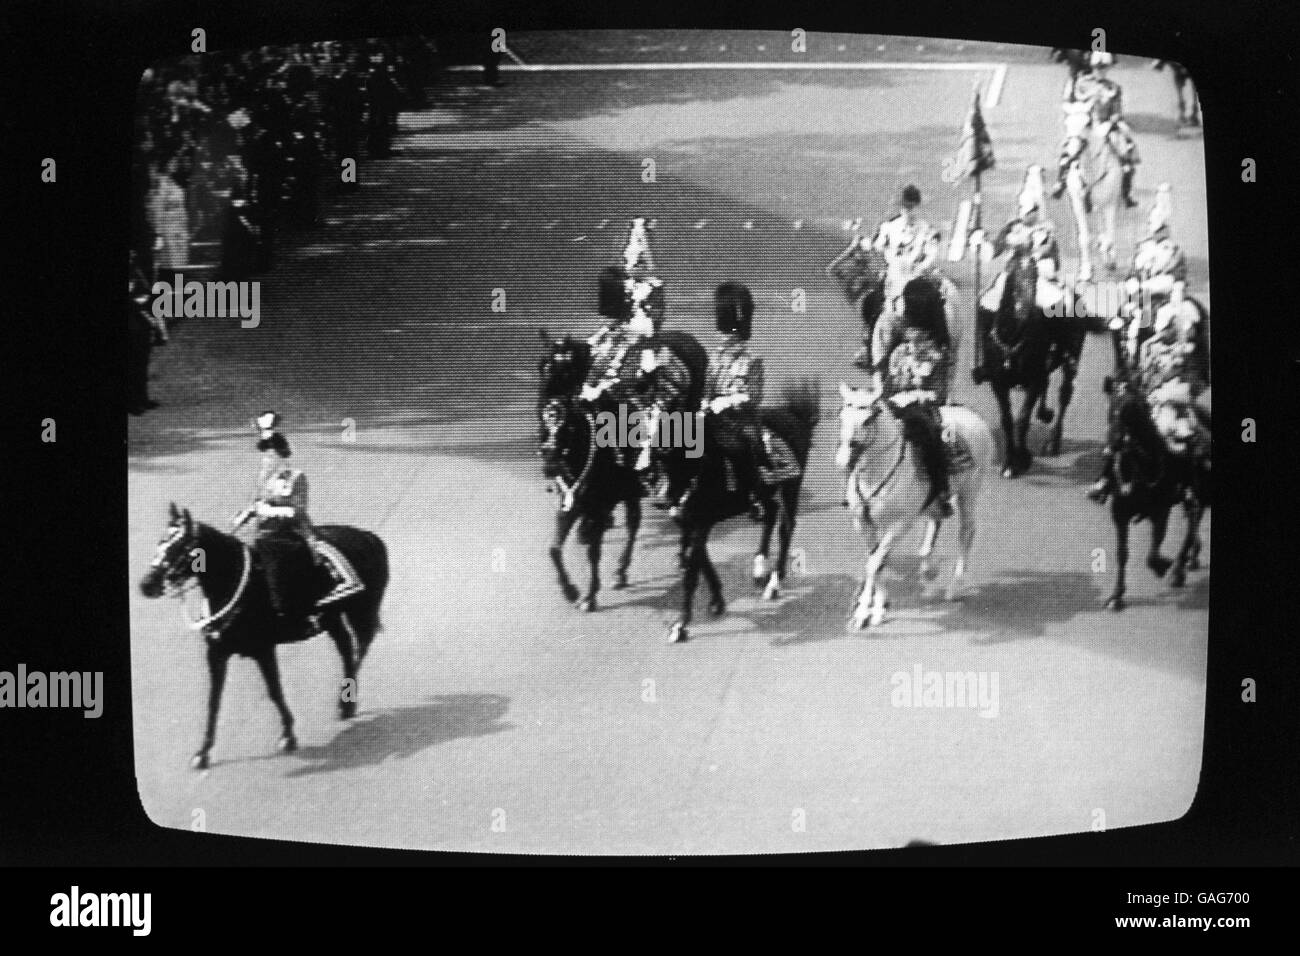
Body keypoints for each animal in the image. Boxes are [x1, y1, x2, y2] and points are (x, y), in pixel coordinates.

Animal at [141, 502, 387, 770]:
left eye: (179, 547)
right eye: (161, 541)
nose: (146, 585)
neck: (236, 586)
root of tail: (368, 536)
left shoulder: (263, 650)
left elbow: (274, 690)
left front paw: (288, 736)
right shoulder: (216, 654)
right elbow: (213, 701)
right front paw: (202, 752)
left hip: (360, 611)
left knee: (358, 649)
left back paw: (346, 703)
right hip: (333, 619)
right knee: (346, 648)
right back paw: (345, 703)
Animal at [832, 382, 993, 629]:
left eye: (868, 420)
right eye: (842, 416)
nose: (842, 460)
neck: (875, 474)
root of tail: (971, 414)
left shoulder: (900, 524)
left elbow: (874, 563)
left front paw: (862, 613)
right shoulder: (863, 524)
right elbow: (878, 561)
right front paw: (879, 608)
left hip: (970, 491)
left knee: (967, 532)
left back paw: (954, 587)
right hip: (936, 500)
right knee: (935, 521)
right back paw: (928, 569)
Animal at [977, 256, 1086, 476]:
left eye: (1034, 281)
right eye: (1012, 281)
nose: (1024, 313)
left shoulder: (1034, 380)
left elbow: (1022, 418)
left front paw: (1020, 460)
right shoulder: (998, 383)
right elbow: (1007, 419)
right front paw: (1009, 461)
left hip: (1070, 359)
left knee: (1064, 394)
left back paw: (1053, 442)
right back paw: (1044, 415)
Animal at [1102, 369, 1211, 608]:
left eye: (1131, 409)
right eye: (1111, 405)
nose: (1112, 446)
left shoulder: (1161, 511)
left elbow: (1153, 553)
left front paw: (1163, 565)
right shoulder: (1119, 513)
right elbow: (1122, 553)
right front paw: (1116, 596)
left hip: (1197, 491)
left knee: (1193, 521)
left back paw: (1179, 567)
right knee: (1193, 519)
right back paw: (1190, 558)